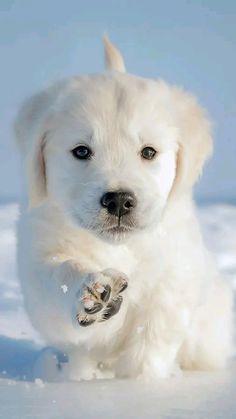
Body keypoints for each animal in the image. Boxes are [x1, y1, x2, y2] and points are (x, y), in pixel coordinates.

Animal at [15, 37, 234, 382]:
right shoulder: (38, 258)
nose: (118, 200)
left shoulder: (173, 278)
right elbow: (57, 275)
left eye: (148, 152)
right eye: (81, 151)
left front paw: (139, 383)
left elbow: (151, 341)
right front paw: (93, 292)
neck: (119, 247)